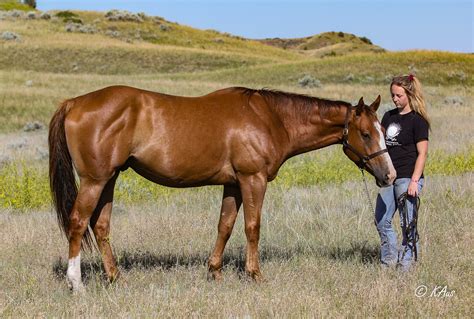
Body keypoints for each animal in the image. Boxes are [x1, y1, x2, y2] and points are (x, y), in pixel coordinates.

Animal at [48, 85, 396, 292]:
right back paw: (76, 283)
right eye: (366, 134)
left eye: (382, 131)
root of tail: (74, 102)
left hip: (110, 178)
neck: (270, 118)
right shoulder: (252, 179)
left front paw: (214, 272)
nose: (389, 175)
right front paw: (255, 274)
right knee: (78, 223)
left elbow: (225, 226)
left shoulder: (233, 184)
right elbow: (252, 227)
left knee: (100, 226)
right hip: (95, 180)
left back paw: (115, 277)